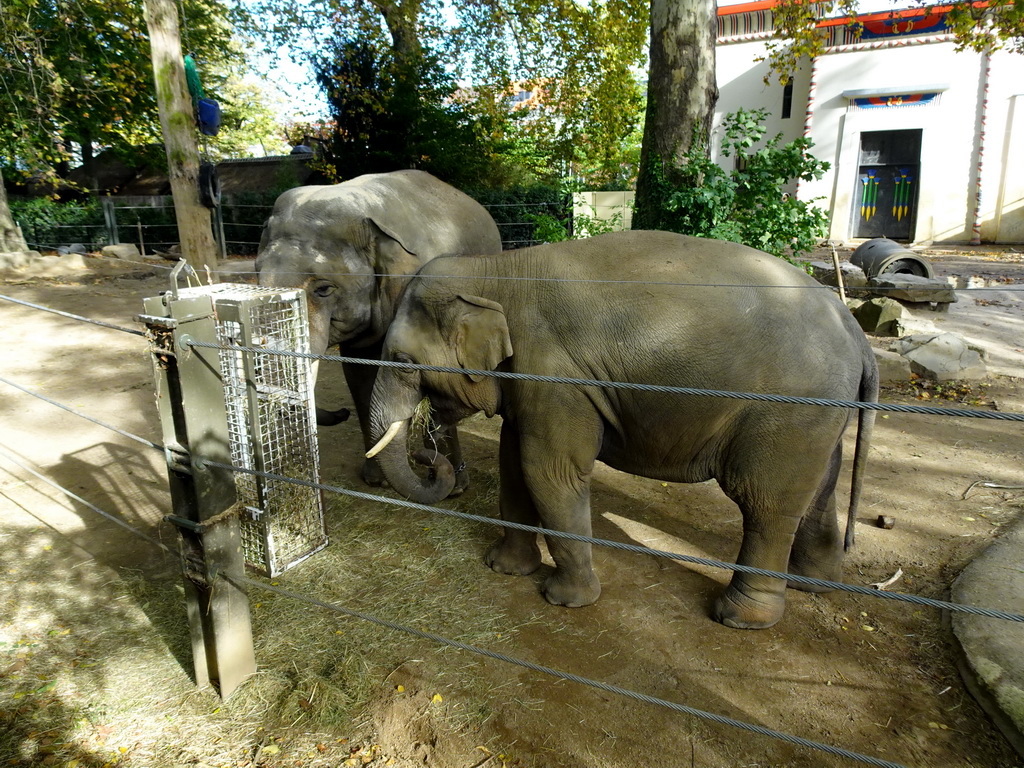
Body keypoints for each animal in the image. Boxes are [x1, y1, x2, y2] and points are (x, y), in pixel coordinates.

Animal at [258, 169, 501, 493]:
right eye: (257, 279)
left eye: (323, 289)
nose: (341, 413)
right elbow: (360, 379)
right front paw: (377, 481)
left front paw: (455, 488)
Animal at [364, 231, 876, 626]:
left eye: (403, 361)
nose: (431, 455)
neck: (496, 270)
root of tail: (855, 329)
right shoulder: (532, 383)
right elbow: (514, 463)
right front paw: (504, 569)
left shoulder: (558, 377)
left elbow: (548, 471)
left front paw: (566, 600)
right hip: (822, 414)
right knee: (819, 488)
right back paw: (815, 585)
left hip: (789, 413)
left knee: (765, 502)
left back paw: (739, 618)